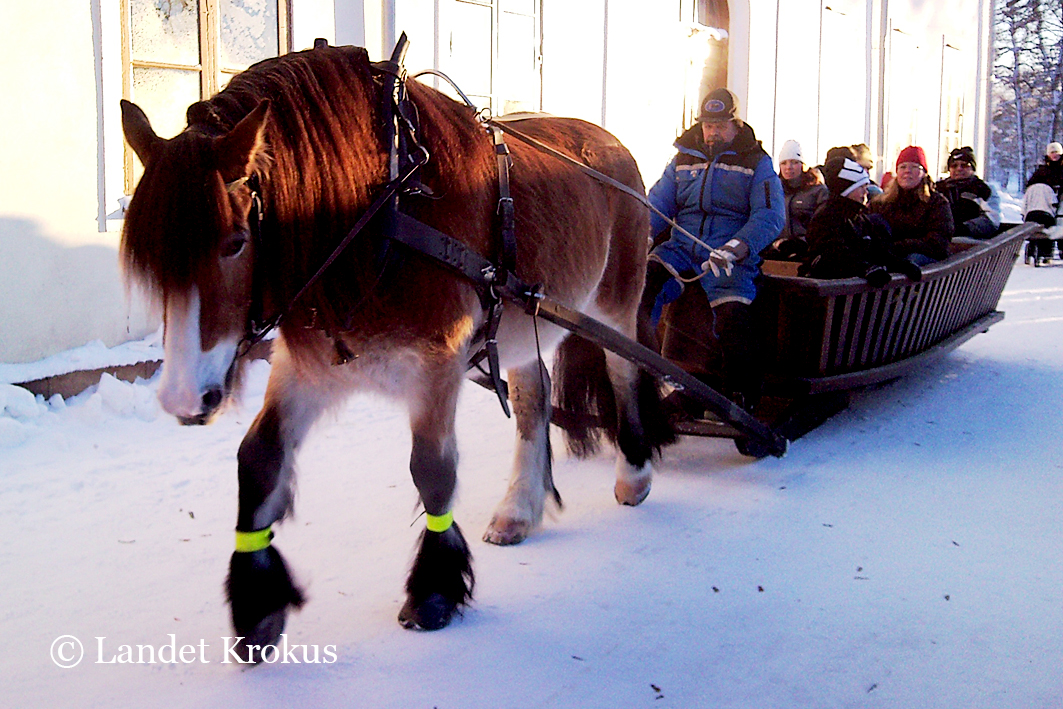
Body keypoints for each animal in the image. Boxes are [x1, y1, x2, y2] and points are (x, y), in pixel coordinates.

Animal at [118, 41, 671, 659]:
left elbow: (432, 471)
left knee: (625, 372)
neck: (382, 214)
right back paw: (519, 508)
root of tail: (611, 142)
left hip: (616, 300)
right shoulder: (309, 367)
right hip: (523, 318)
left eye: (235, 243)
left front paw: (434, 590)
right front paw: (258, 603)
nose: (183, 399)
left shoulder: (437, 364)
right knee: (534, 398)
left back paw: (634, 474)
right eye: (154, 258)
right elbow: (258, 460)